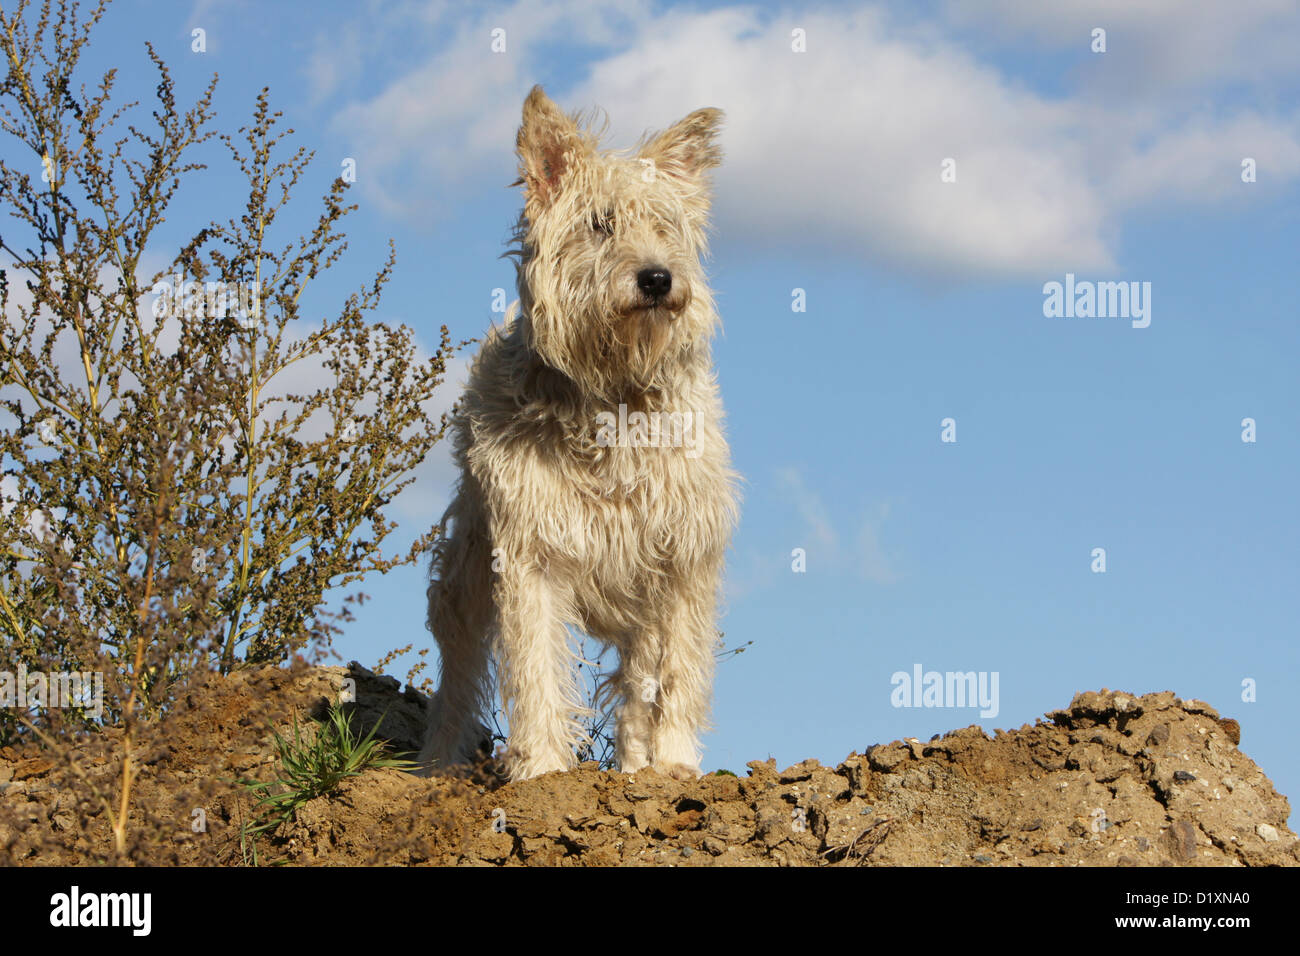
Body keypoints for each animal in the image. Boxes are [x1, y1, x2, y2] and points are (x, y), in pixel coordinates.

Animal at [421, 85, 738, 780]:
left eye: (664, 226)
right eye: (600, 223)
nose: (657, 278)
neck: (613, 396)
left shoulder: (681, 555)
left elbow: (677, 669)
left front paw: (672, 766)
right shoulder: (530, 551)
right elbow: (535, 665)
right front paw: (543, 769)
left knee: (639, 680)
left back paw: (638, 765)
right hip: (470, 556)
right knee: (457, 655)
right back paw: (436, 764)